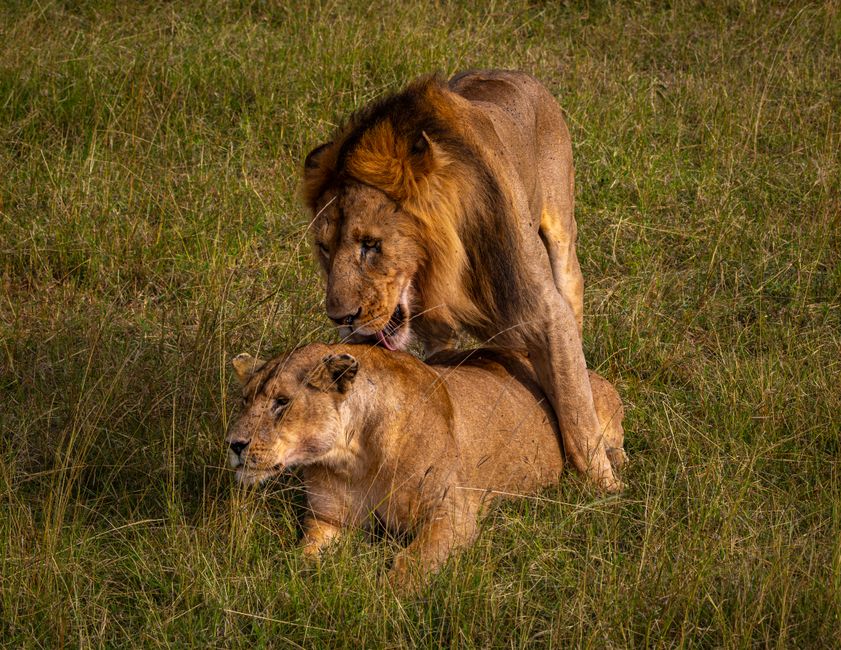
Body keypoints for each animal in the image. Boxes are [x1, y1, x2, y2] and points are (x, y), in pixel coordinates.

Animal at [225, 343, 626, 588]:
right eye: (245, 400)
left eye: (281, 401)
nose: (233, 444)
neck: (353, 456)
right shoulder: (328, 519)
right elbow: (303, 555)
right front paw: (295, 577)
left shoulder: (452, 513)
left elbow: (411, 563)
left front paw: (382, 598)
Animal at [302, 69, 623, 492]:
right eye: (324, 249)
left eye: (371, 244)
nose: (341, 319)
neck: (438, 269)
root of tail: (518, 73)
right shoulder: (436, 331)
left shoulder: (544, 311)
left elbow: (575, 407)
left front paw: (606, 490)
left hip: (561, 234)